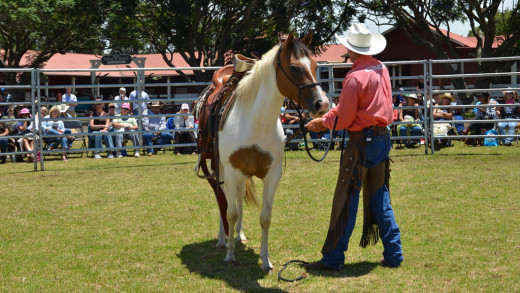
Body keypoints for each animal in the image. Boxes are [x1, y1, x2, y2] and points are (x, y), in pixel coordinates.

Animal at [197, 30, 328, 272]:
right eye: (294, 67)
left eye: (315, 65)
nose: (321, 104)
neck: (256, 121)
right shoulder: (231, 171)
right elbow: (230, 212)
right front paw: (230, 256)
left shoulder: (271, 175)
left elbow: (264, 217)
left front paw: (266, 260)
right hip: (219, 168)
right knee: (222, 199)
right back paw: (222, 240)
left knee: (237, 198)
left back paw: (239, 235)